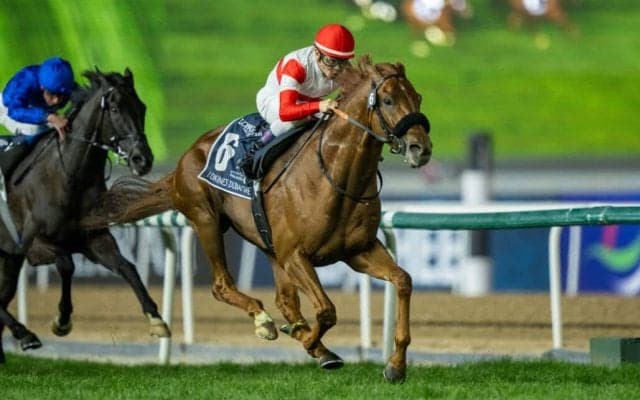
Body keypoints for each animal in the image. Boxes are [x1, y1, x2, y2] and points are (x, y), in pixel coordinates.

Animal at [0, 69, 170, 364]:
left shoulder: (95, 238)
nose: (142, 159)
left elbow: (128, 267)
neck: (68, 177)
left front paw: (156, 319)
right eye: (115, 108)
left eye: (142, 107)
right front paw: (61, 320)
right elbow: (67, 265)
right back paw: (25, 334)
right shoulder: (35, 244)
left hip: (8, 259)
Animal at [90, 56, 432, 382]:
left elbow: (403, 281)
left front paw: (395, 365)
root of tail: (184, 160)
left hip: (268, 245)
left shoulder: (358, 250)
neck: (336, 175)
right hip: (206, 219)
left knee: (285, 300)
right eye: (388, 100)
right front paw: (312, 343)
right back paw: (265, 321)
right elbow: (326, 311)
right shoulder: (295, 254)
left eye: (418, 97)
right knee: (222, 286)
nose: (421, 148)